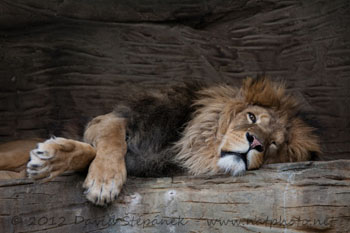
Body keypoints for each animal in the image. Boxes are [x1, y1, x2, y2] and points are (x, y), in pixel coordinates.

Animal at [0, 78, 320, 206]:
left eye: (274, 145)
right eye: (252, 117)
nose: (255, 143)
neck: (186, 145)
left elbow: (91, 153)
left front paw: (51, 159)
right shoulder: (112, 118)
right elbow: (111, 142)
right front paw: (104, 182)